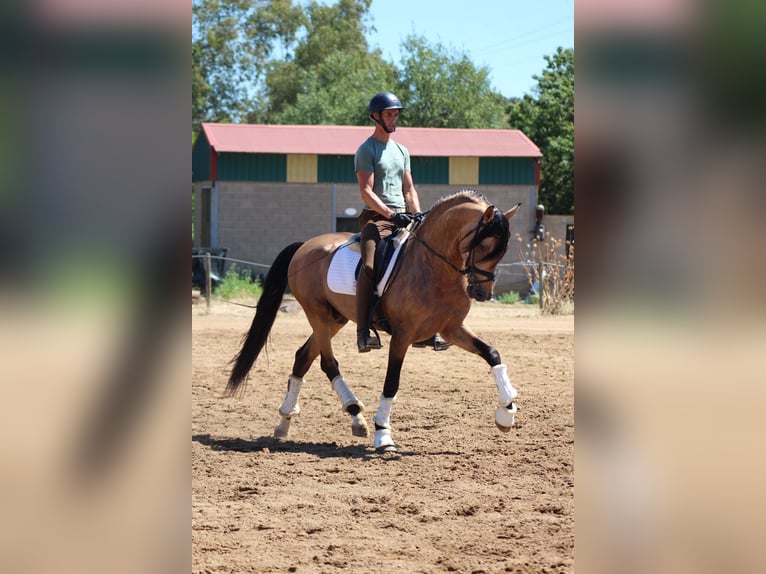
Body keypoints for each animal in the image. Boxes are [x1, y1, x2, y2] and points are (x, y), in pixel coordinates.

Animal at [226, 191, 520, 452]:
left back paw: (288, 420)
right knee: (327, 362)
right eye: (484, 246)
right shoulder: (402, 335)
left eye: (502, 251)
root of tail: (306, 245)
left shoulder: (452, 328)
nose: (482, 294)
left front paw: (506, 412)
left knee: (303, 356)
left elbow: (492, 353)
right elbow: (392, 383)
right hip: (317, 314)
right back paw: (353, 410)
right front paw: (383, 435)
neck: (433, 267)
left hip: (336, 318)